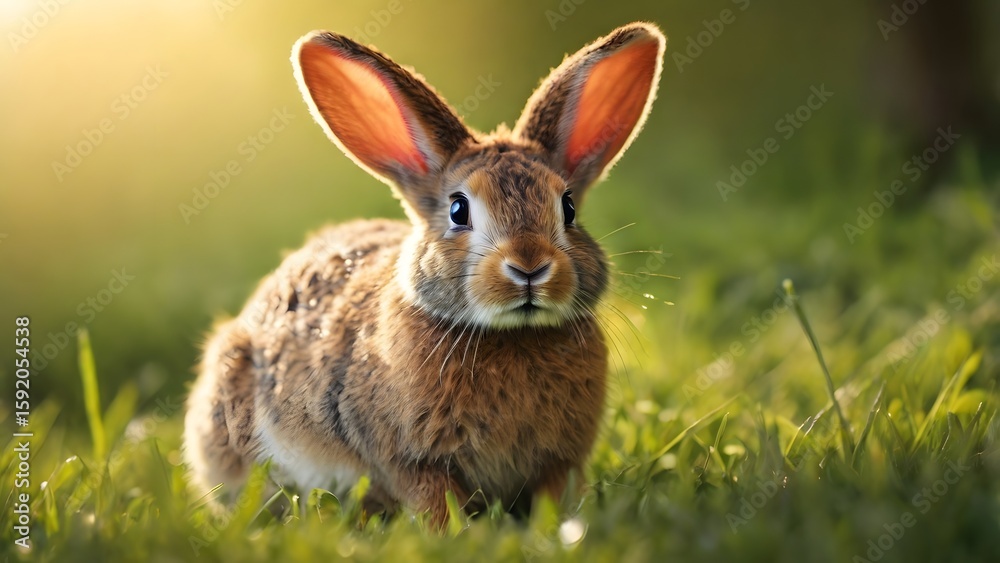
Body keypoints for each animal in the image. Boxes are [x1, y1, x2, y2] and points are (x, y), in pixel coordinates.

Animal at [183, 21, 665, 527]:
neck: (511, 334)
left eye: (568, 208)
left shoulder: (559, 461)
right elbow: (432, 498)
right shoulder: (412, 461)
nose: (529, 266)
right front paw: (455, 533)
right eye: (458, 210)